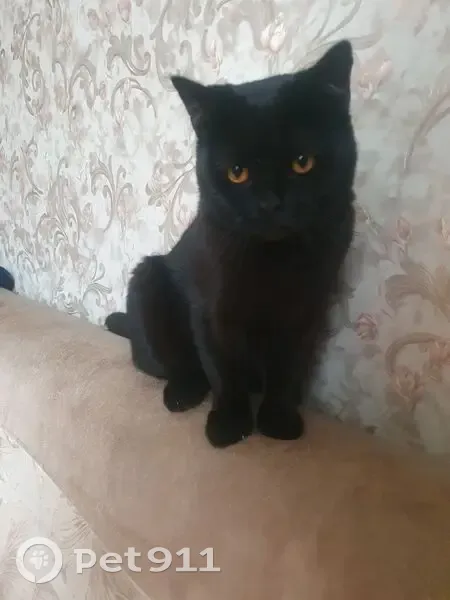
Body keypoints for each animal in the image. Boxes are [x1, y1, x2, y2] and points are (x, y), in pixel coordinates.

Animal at [105, 40, 358, 448]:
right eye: (237, 172)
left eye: (302, 162)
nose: (270, 203)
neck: (275, 262)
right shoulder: (212, 313)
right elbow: (223, 371)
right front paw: (229, 426)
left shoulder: (307, 311)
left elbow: (289, 368)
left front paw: (278, 420)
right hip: (149, 279)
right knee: (174, 365)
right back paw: (182, 394)